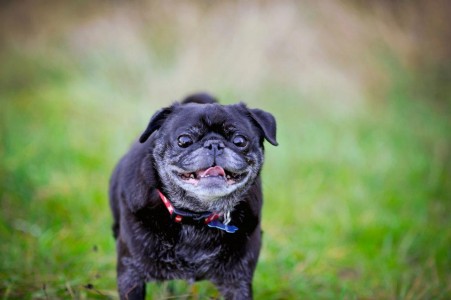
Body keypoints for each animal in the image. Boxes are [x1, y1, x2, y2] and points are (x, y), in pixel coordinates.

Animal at [110, 92, 278, 298]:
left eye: (240, 141)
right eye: (184, 140)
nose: (214, 144)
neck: (196, 217)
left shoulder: (237, 281)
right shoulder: (131, 275)